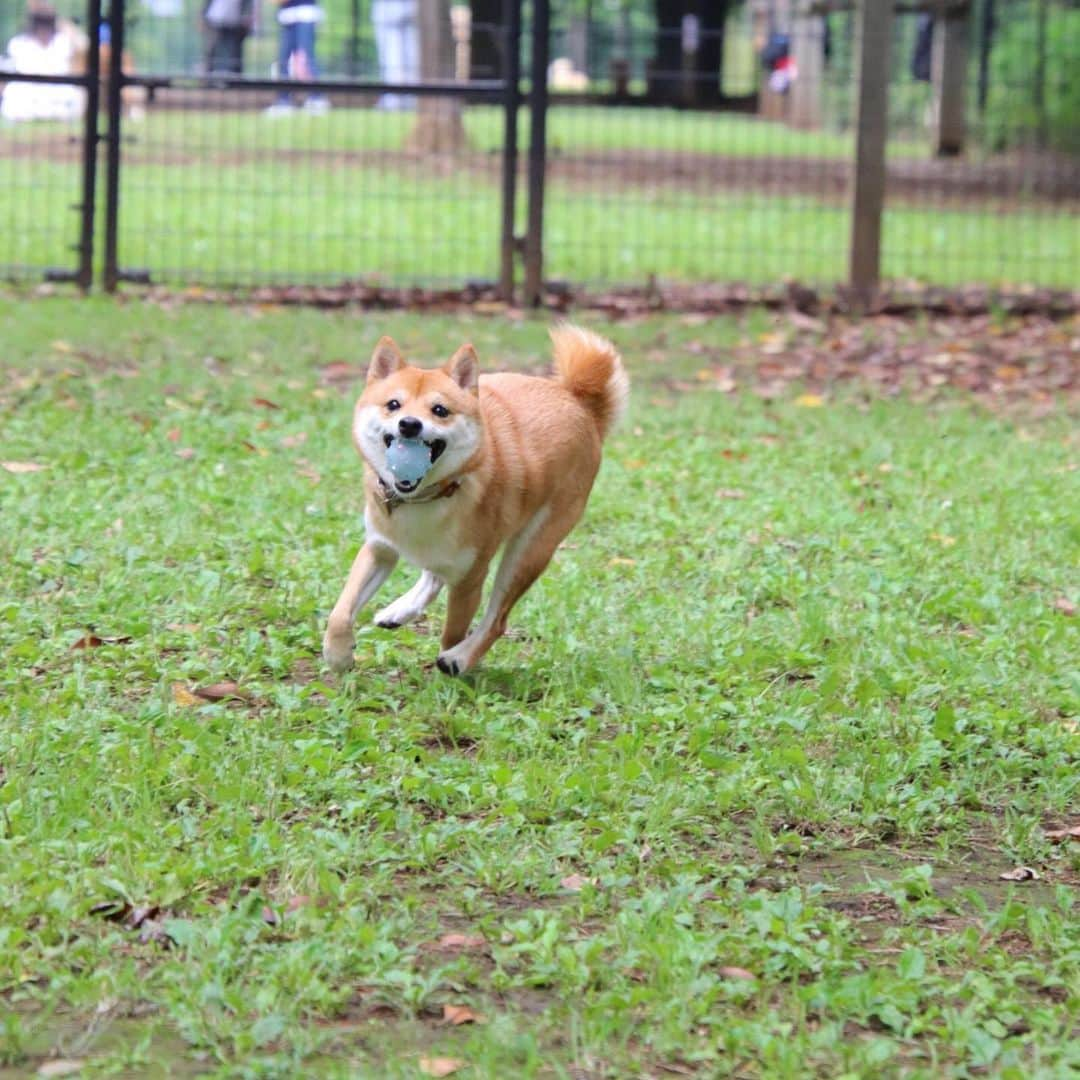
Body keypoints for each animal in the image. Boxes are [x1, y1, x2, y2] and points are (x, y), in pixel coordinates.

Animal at [319, 324, 630, 673]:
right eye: (393, 404)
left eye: (439, 411)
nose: (409, 424)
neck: (424, 499)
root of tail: (579, 401)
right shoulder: (379, 548)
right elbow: (341, 611)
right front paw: (338, 653)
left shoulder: (469, 578)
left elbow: (453, 632)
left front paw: (449, 672)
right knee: (434, 575)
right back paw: (400, 609)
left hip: (528, 552)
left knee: (497, 620)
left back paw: (460, 658)